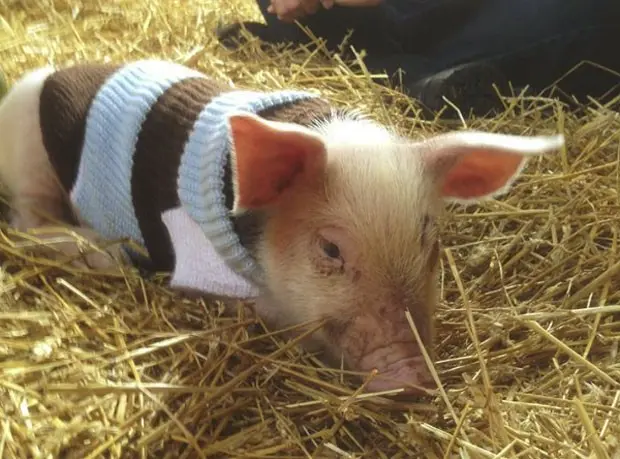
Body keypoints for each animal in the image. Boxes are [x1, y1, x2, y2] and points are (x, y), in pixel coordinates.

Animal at [0, 63, 568, 396]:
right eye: (331, 248)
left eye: (430, 239)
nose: (415, 377)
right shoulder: (198, 263)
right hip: (30, 164)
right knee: (25, 223)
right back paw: (116, 254)